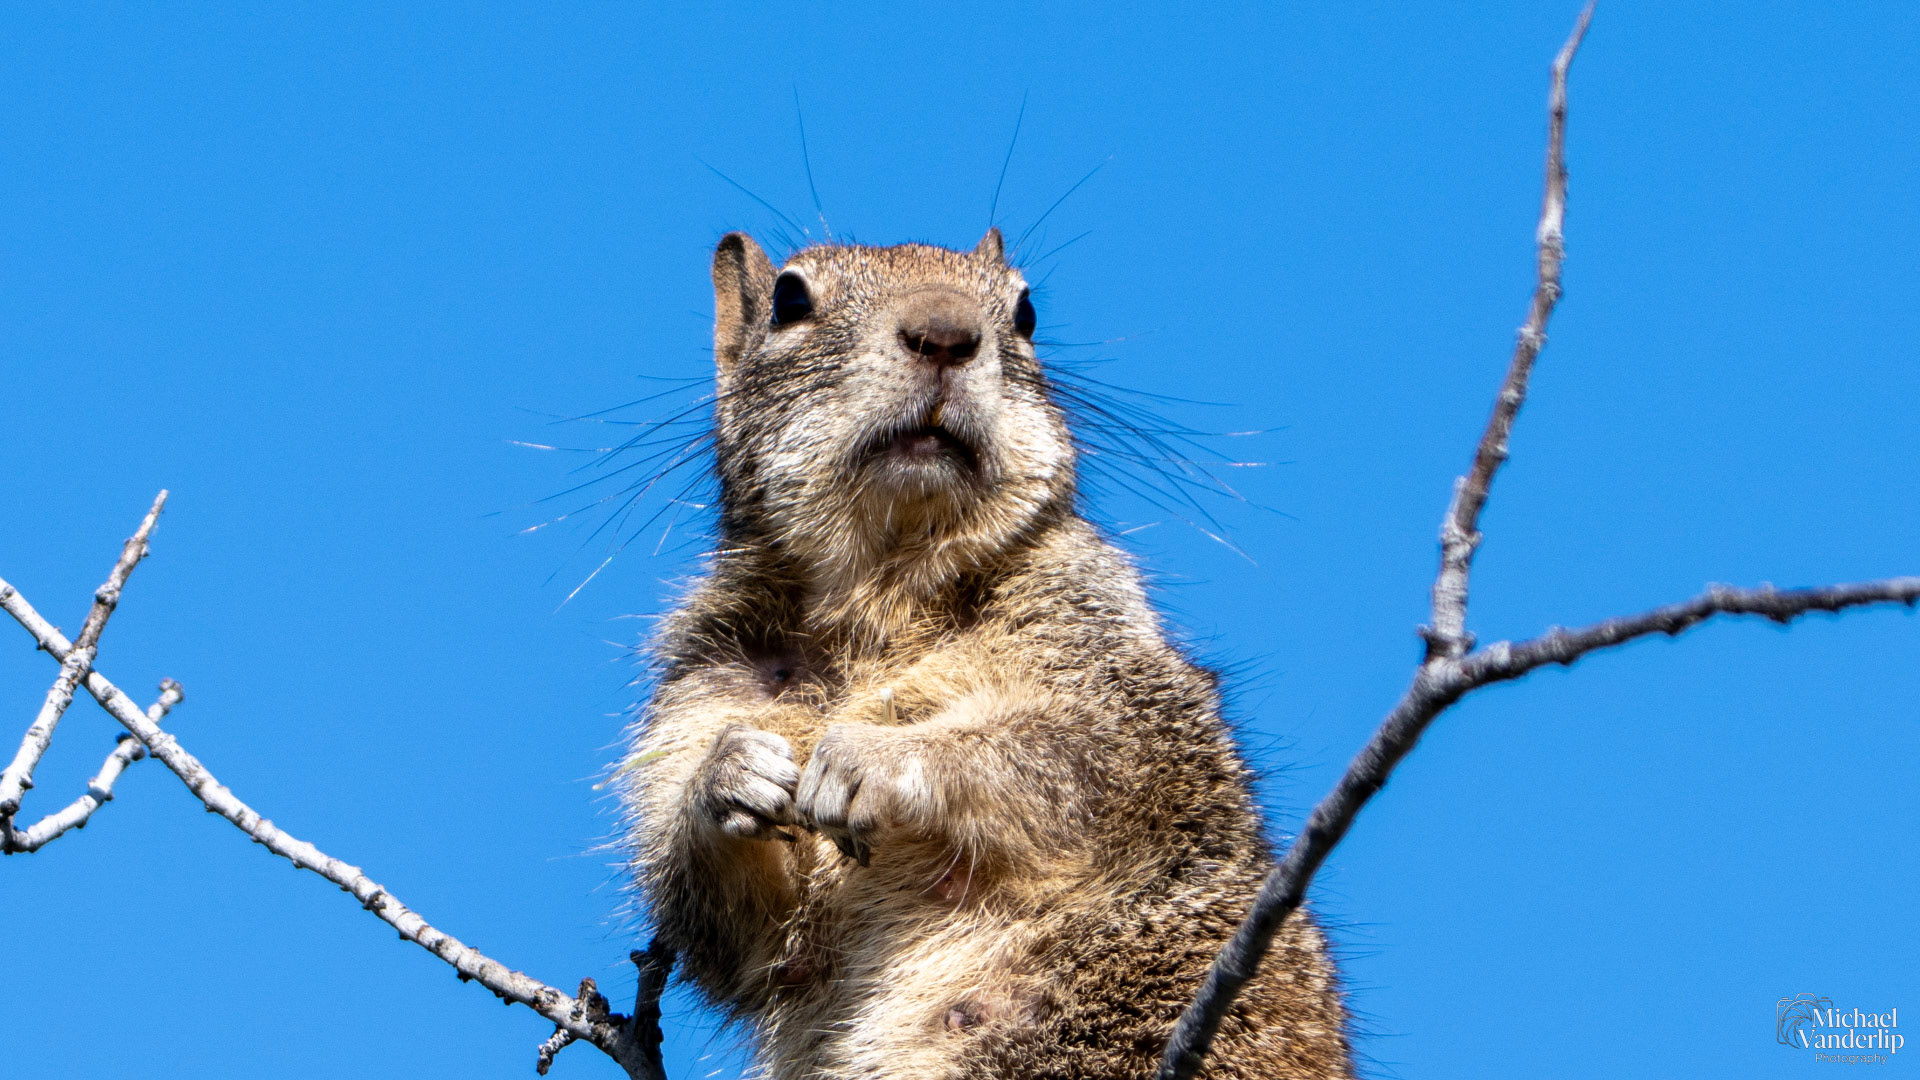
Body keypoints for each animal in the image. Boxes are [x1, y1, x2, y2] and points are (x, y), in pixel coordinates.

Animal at [621, 228, 1351, 1080]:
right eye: (789, 300)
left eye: (1027, 312)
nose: (945, 333)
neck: (885, 593)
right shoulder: (702, 683)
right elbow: (732, 932)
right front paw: (729, 775)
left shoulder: (1112, 662)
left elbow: (1069, 755)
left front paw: (874, 758)